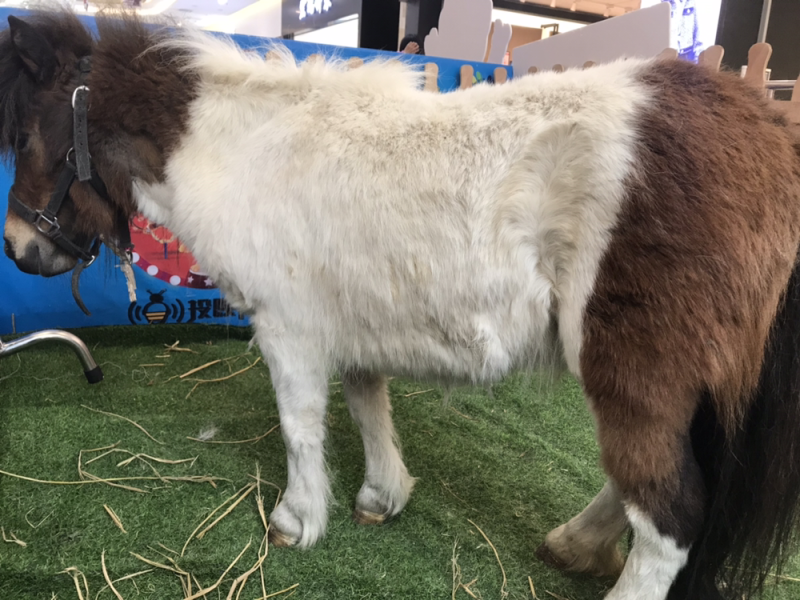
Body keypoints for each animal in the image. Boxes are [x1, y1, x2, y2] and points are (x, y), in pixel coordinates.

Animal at [3, 10, 800, 600]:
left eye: (30, 136)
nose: (19, 248)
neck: (245, 151)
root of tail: (761, 130)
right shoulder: (352, 318)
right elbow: (365, 400)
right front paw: (382, 495)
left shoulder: (287, 326)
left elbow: (301, 425)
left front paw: (298, 519)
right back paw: (575, 544)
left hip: (635, 367)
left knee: (668, 516)